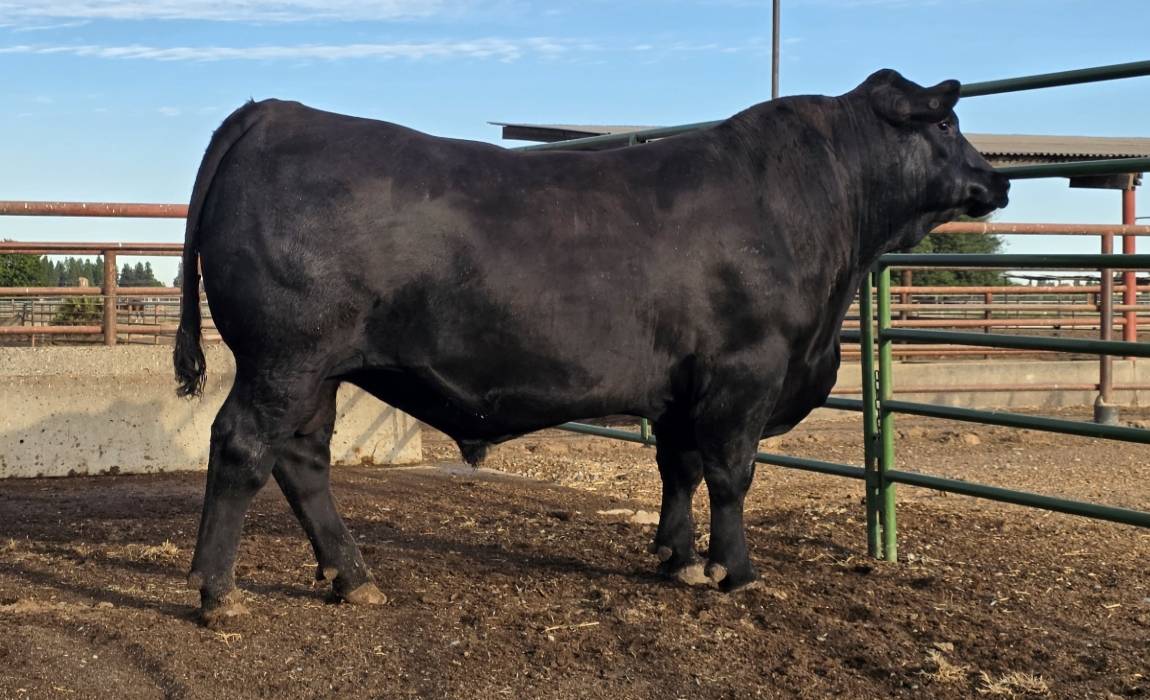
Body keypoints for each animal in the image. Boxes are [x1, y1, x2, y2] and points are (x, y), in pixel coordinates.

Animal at [174, 69, 1008, 624]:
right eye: (944, 126)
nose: (995, 182)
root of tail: (276, 112)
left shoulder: (682, 385)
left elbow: (679, 469)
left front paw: (676, 558)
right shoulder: (745, 370)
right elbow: (732, 474)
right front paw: (735, 570)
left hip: (318, 369)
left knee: (301, 460)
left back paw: (351, 577)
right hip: (286, 356)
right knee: (243, 445)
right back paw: (217, 591)